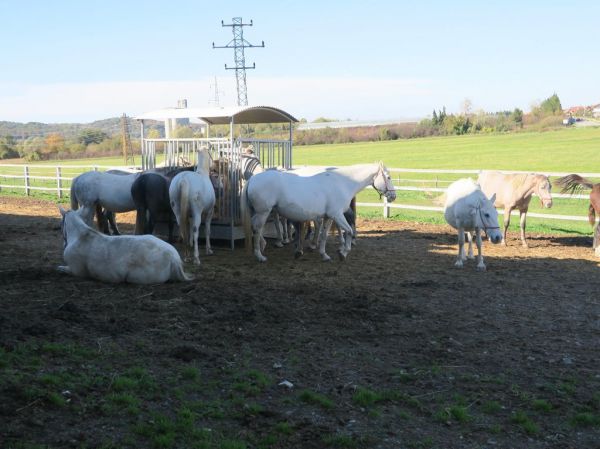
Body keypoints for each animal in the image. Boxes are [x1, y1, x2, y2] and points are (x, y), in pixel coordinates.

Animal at [57, 207, 191, 284]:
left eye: (62, 223)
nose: (63, 243)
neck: (81, 236)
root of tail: (173, 258)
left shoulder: (76, 271)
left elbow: (61, 268)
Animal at [241, 161, 396, 260]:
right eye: (388, 177)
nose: (393, 196)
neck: (342, 183)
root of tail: (252, 179)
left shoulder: (328, 217)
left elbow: (324, 235)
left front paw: (324, 254)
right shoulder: (337, 215)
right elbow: (349, 231)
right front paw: (344, 253)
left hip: (259, 212)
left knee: (255, 227)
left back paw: (263, 246)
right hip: (263, 212)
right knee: (257, 228)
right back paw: (260, 255)